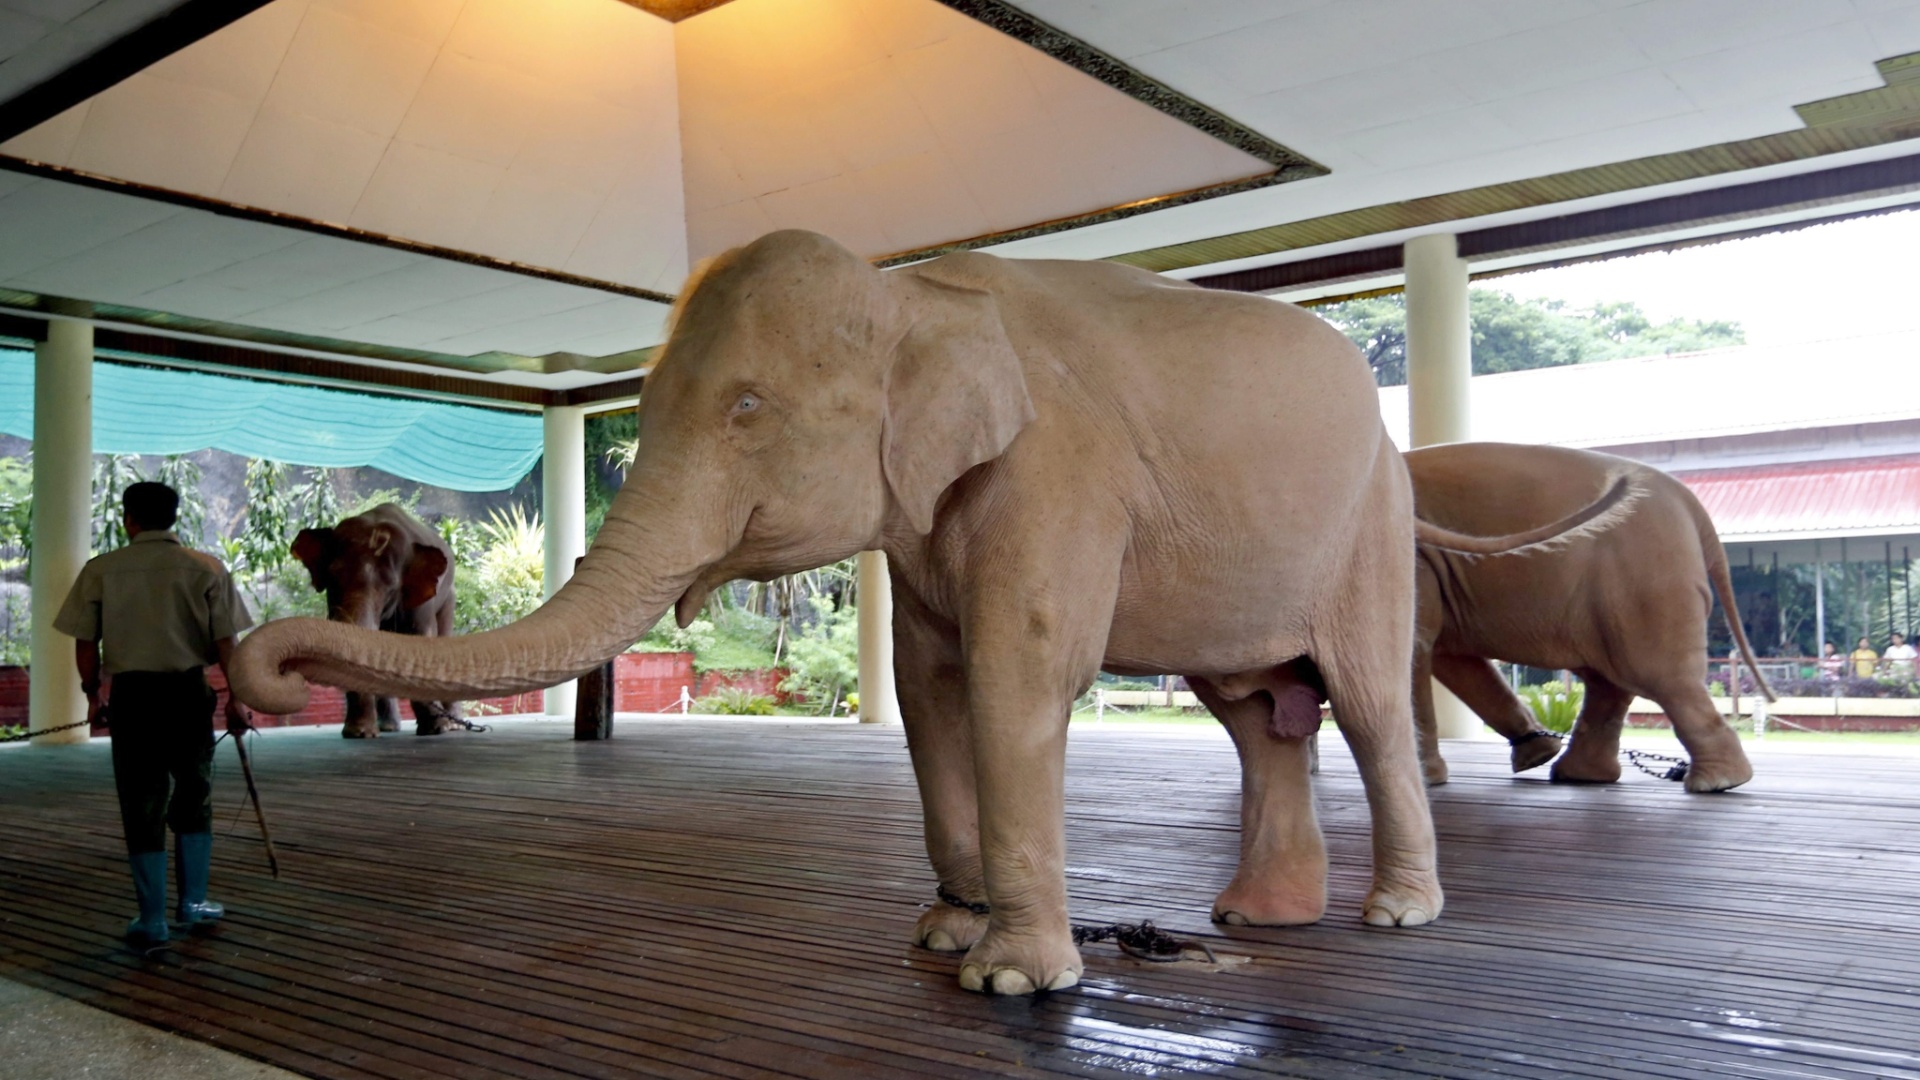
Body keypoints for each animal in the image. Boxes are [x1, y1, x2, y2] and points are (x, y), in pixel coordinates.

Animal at [290, 503, 466, 738]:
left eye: (391, 587)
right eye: (332, 579)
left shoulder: (422, 602)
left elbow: (421, 638)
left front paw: (435, 729)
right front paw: (359, 733)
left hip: (449, 596)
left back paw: (453, 725)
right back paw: (388, 727)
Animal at [1406, 442, 1773, 793]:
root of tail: (1690, 503)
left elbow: (1421, 648)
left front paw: (1429, 780)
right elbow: (1449, 658)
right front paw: (1535, 755)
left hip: (1646, 584)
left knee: (1659, 676)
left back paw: (1717, 782)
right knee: (1609, 682)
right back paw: (1577, 774)